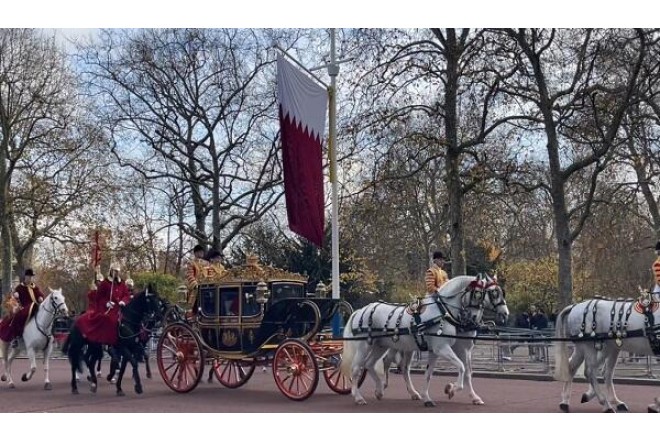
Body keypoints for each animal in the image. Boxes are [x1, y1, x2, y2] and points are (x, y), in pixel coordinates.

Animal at [342, 276, 508, 406]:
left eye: (500, 292)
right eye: (487, 293)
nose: (505, 314)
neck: (444, 312)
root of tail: (361, 310)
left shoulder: (444, 350)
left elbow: (434, 373)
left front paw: (428, 397)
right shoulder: (443, 348)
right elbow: (461, 368)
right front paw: (451, 389)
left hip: (381, 345)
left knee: (373, 364)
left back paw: (382, 390)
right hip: (364, 346)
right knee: (357, 368)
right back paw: (358, 397)